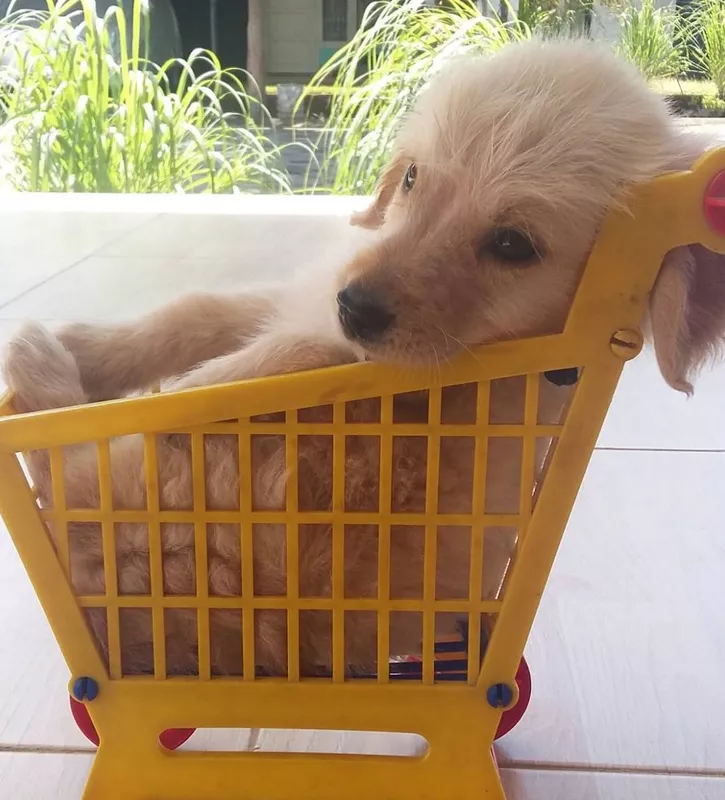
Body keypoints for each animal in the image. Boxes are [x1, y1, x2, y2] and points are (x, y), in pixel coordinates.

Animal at [4, 40, 724, 680]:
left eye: (513, 244)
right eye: (411, 178)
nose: (354, 307)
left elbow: (269, 363)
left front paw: (190, 388)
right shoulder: (298, 300)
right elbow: (195, 311)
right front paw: (96, 347)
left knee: (68, 482)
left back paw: (35, 356)